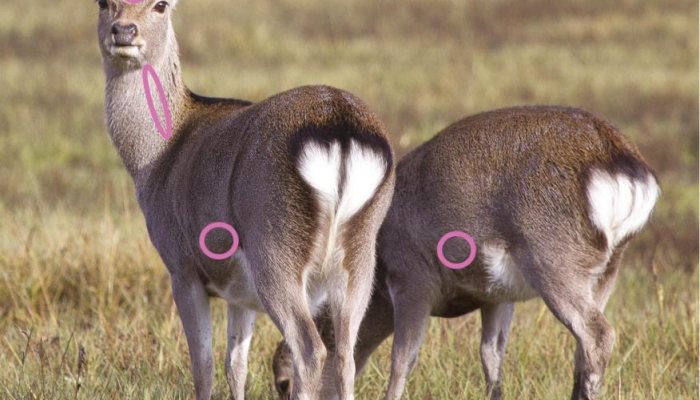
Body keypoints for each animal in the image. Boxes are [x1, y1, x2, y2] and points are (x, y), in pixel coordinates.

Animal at [95, 1, 395, 399]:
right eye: (102, 3)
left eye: (161, 5)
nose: (124, 31)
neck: (156, 161)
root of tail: (341, 130)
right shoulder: (240, 292)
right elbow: (235, 366)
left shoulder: (180, 265)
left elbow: (203, 365)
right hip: (361, 250)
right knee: (345, 354)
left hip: (275, 244)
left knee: (310, 349)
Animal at [273, 105, 660, 400]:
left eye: (283, 383)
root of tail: (629, 171)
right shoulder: (497, 296)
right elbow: (491, 356)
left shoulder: (413, 276)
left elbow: (402, 359)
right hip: (606, 269)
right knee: (584, 344)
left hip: (554, 257)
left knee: (598, 334)